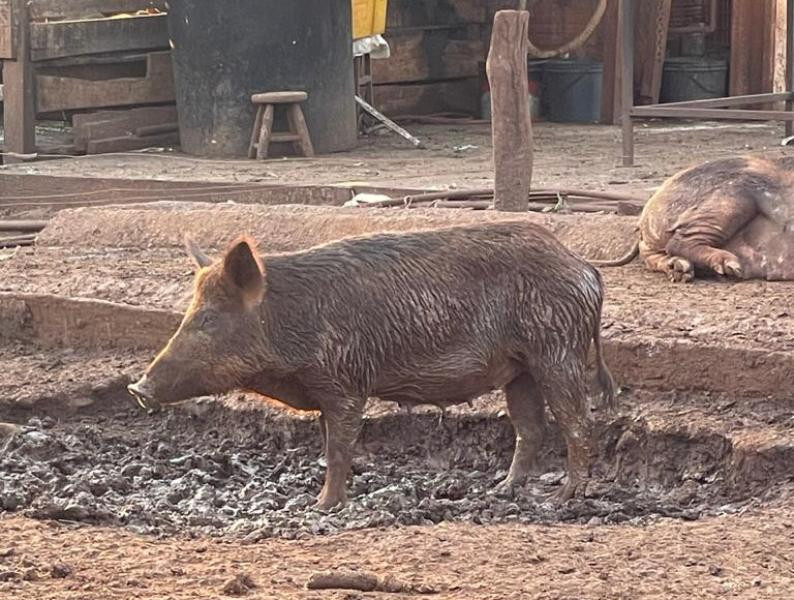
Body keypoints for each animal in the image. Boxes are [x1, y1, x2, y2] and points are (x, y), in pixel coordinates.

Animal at [128, 223, 612, 508]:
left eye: (208, 319)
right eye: (189, 312)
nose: (137, 388)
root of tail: (584, 267)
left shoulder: (344, 382)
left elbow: (338, 449)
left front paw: (321, 507)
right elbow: (330, 445)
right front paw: (322, 500)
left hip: (557, 350)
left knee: (578, 423)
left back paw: (562, 498)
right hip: (520, 368)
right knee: (531, 428)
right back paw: (500, 490)